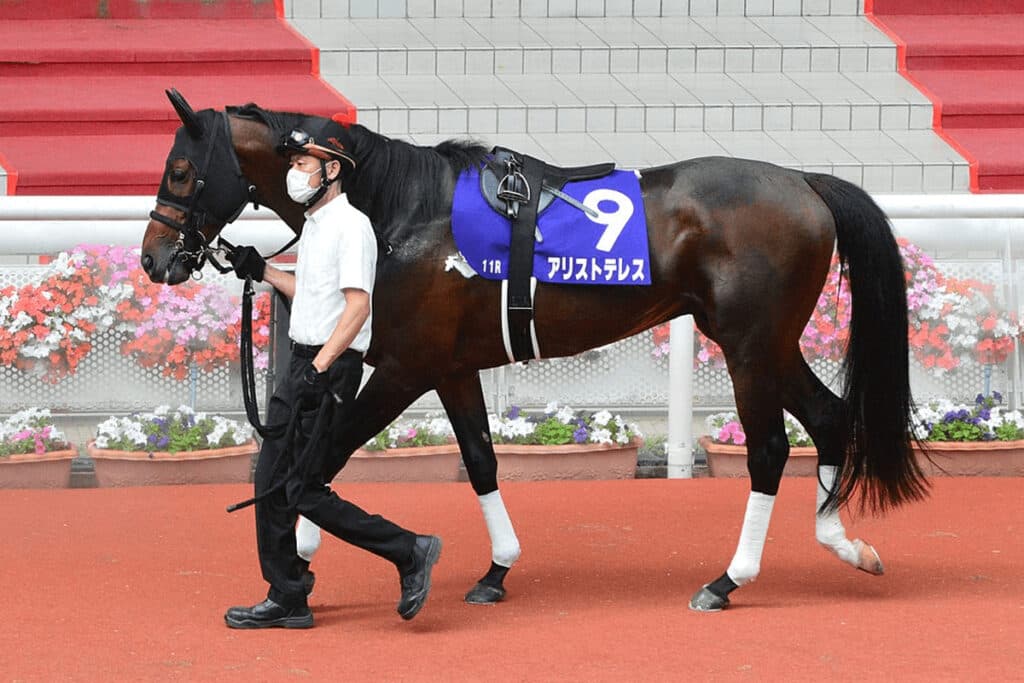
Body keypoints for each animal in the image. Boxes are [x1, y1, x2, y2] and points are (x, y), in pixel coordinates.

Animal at [140, 90, 928, 612]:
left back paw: (727, 579)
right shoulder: (452, 367)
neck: (403, 211)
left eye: (180, 171)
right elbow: (480, 461)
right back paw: (846, 545)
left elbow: (323, 458)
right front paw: (495, 569)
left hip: (750, 347)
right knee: (829, 418)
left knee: (769, 450)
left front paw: (300, 564)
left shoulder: (403, 368)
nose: (155, 259)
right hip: (764, 343)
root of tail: (806, 183)